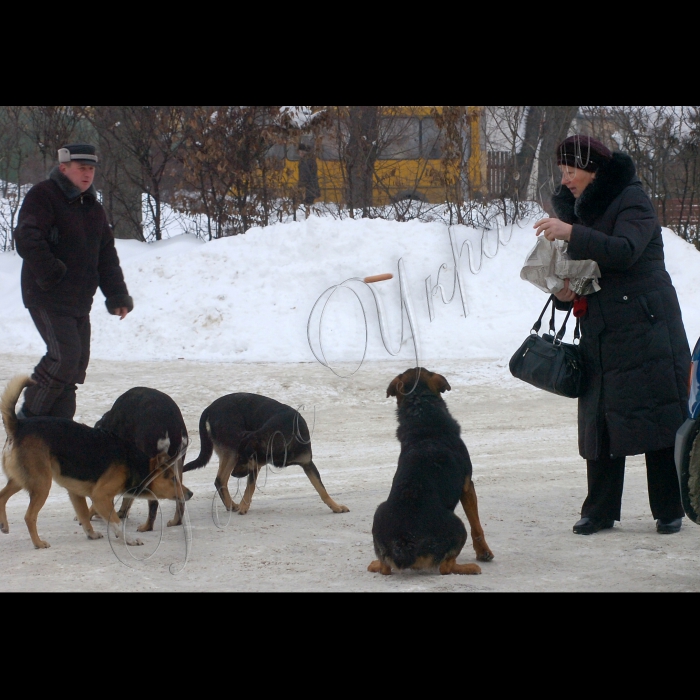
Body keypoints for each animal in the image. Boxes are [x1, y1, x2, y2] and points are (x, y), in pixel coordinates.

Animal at [0, 374, 191, 548]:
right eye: (172, 479)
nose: (190, 493)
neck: (134, 463)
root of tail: (18, 426)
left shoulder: (76, 492)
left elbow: (85, 515)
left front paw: (91, 534)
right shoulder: (100, 496)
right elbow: (115, 521)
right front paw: (128, 539)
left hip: (22, 479)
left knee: (2, 496)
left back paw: (4, 524)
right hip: (41, 484)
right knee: (29, 516)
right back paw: (38, 543)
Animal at [182, 394, 348, 516]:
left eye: (243, 460)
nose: (235, 474)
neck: (283, 435)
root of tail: (209, 409)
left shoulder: (307, 463)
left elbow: (321, 489)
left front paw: (336, 507)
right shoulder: (254, 464)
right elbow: (250, 487)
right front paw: (243, 506)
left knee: (220, 480)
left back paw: (231, 505)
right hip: (231, 449)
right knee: (220, 479)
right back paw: (232, 505)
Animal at [366, 366, 492, 576]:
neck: (421, 410)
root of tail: (405, 545)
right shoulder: (467, 486)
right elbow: (477, 527)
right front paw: (484, 553)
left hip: (379, 511)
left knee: (385, 567)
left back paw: (375, 564)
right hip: (458, 526)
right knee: (446, 567)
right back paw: (469, 567)